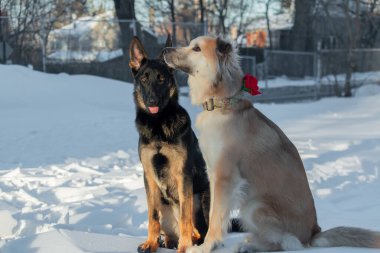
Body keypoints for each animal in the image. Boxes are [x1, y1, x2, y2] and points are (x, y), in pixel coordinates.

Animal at [162, 36, 378, 253]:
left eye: (196, 49)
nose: (164, 50)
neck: (223, 103)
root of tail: (313, 232)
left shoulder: (225, 177)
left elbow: (216, 218)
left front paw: (206, 246)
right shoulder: (214, 176)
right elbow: (214, 213)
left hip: (254, 206)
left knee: (285, 243)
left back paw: (252, 245)